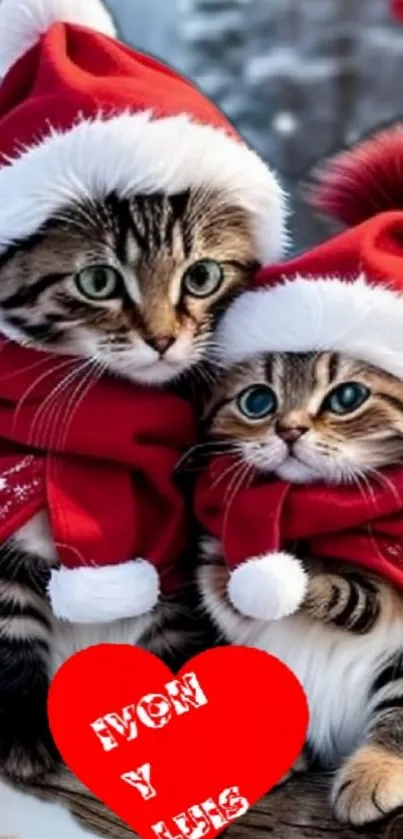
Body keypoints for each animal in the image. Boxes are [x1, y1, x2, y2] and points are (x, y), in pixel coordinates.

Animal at [0, 189, 258, 780]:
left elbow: (176, 641)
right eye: (98, 281)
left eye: (202, 276)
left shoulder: (174, 550)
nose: (162, 339)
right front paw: (21, 730)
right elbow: (9, 631)